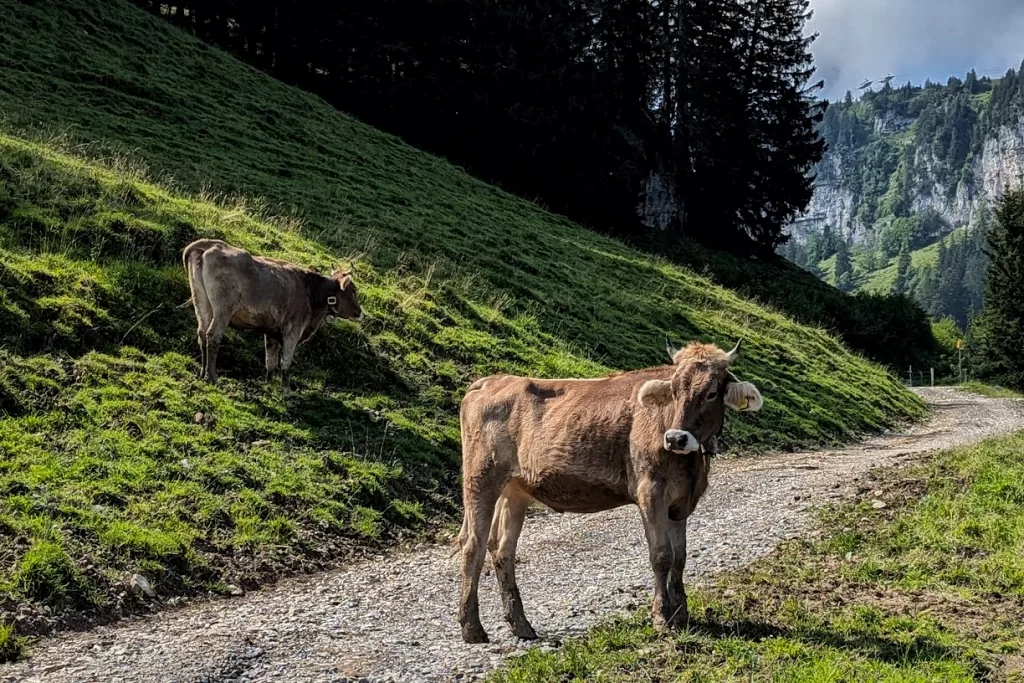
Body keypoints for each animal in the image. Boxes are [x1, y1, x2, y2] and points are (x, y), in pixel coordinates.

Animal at [183, 237, 364, 387]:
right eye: (354, 290)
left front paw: (268, 383)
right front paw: (286, 388)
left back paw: (202, 373)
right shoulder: (293, 331)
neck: (310, 292)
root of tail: (214, 244)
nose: (361, 313)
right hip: (223, 309)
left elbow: (270, 360)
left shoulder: (271, 332)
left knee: (202, 333)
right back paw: (212, 376)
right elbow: (286, 362)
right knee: (213, 336)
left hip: (201, 301)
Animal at [454, 339, 761, 643]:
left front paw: (682, 614)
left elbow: (681, 556)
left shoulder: (680, 502)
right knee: (472, 544)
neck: (690, 465)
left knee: (502, 548)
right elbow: (662, 555)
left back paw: (521, 625)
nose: (675, 438)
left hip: (515, 489)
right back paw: (472, 628)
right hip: (481, 477)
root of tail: (491, 380)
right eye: (674, 390)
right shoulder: (651, 492)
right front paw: (662, 616)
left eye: (711, 393)